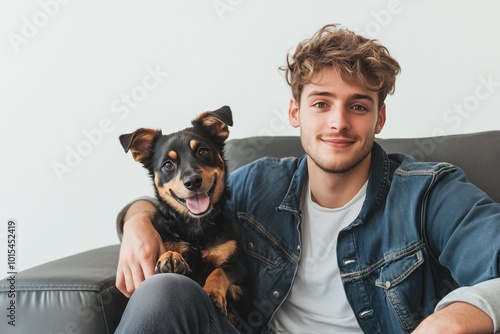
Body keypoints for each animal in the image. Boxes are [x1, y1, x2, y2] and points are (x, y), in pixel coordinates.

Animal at [121, 105, 246, 320]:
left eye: (203, 152)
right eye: (168, 165)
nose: (193, 182)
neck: (195, 225)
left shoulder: (239, 269)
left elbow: (218, 272)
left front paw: (213, 292)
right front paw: (171, 257)